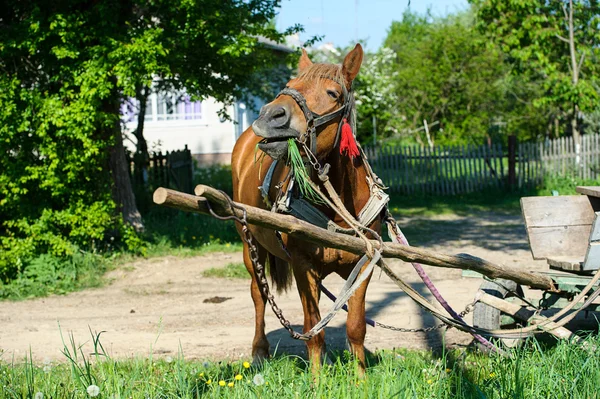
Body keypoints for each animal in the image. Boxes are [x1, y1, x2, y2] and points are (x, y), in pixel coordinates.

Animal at [230, 43, 380, 376]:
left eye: (333, 92)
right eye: (289, 85)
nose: (270, 115)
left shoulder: (364, 264)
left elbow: (355, 327)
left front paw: (361, 379)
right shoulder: (302, 266)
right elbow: (314, 330)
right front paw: (317, 381)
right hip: (250, 244)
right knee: (259, 294)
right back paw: (259, 352)